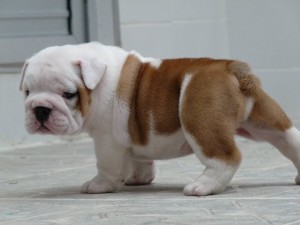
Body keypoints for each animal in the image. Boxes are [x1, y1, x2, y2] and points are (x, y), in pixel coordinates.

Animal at [19, 41, 300, 195]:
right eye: (27, 92)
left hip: (200, 120)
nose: (40, 109)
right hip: (265, 119)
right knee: (290, 139)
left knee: (226, 157)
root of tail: (231, 68)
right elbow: (138, 159)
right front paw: (138, 179)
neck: (98, 83)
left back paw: (202, 187)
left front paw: (99, 185)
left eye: (69, 94)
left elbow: (107, 166)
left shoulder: (106, 140)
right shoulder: (130, 137)